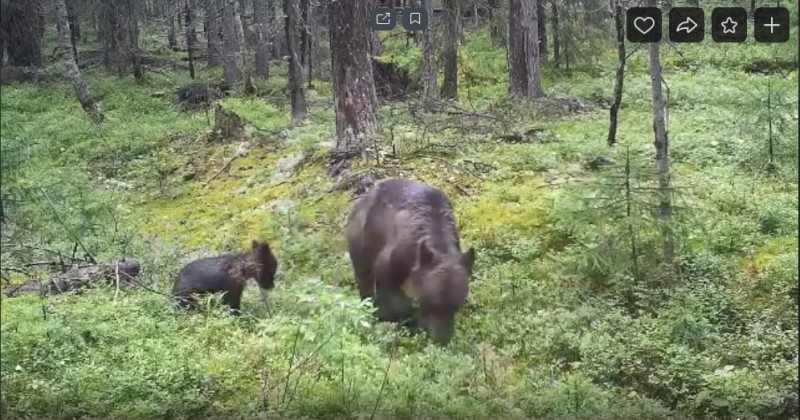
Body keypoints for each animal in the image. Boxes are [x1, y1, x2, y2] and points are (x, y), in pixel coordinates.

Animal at [346, 177, 476, 344]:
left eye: (456, 306)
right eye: (433, 303)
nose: (442, 340)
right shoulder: (391, 262)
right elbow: (391, 295)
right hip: (360, 240)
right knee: (364, 278)